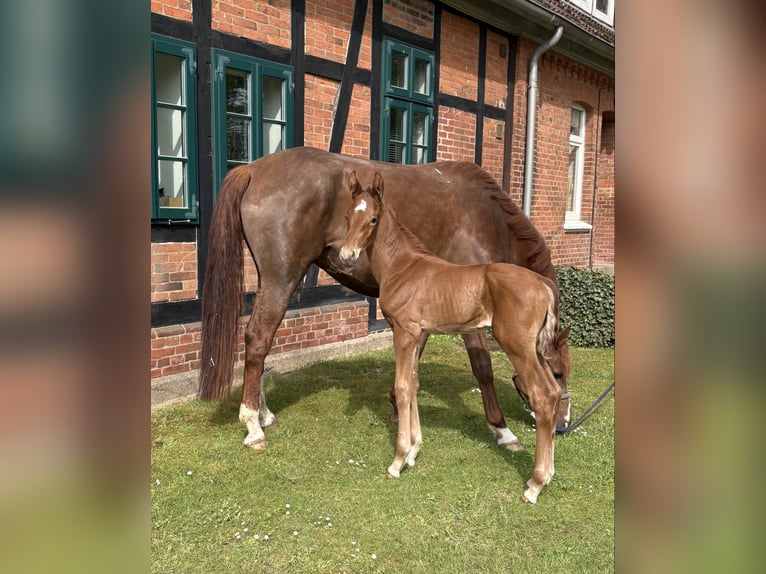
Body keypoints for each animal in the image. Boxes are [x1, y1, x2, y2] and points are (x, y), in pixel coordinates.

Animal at [198, 147, 571, 454]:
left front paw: (397, 405)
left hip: (270, 281)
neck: (487, 218)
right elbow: (483, 368)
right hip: (281, 279)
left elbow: (415, 359)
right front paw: (502, 430)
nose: (563, 424)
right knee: (258, 339)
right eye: (558, 372)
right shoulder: (470, 317)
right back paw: (252, 425)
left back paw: (263, 414)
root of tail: (253, 169)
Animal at [338, 171, 562, 503]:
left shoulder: (403, 331)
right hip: (534, 349)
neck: (403, 266)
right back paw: (546, 476)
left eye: (373, 219)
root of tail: (542, 286)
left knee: (543, 396)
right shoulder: (419, 332)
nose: (346, 256)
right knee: (554, 392)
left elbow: (402, 387)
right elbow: (414, 384)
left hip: (517, 346)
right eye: (347, 216)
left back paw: (534, 485)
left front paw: (397, 460)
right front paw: (414, 452)